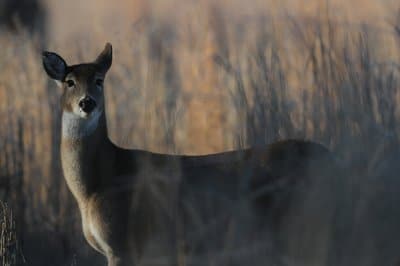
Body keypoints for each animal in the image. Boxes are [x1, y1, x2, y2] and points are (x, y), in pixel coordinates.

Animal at [42, 44, 340, 266]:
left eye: (99, 80)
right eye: (69, 82)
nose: (87, 103)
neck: (96, 184)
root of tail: (330, 159)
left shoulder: (121, 241)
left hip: (303, 223)